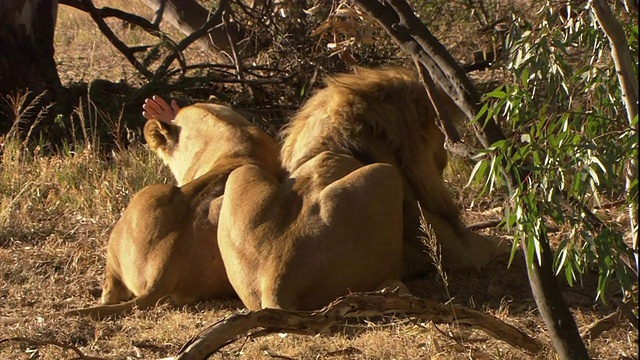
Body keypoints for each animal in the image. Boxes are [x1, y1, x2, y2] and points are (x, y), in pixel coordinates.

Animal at [220, 67, 504, 310]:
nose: (444, 159)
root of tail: (275, 284)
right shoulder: (457, 250)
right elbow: (491, 247)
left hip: (242, 172)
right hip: (384, 176)